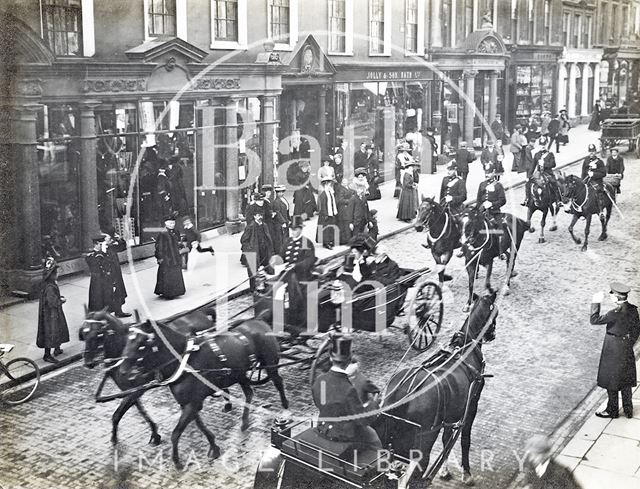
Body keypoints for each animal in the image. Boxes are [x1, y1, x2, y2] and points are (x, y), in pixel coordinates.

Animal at [119, 318, 288, 468]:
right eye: (127, 340)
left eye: (141, 343)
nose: (123, 371)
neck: (184, 362)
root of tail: (260, 323)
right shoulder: (189, 403)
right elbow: (200, 426)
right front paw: (213, 446)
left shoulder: (193, 404)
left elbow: (175, 433)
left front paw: (177, 461)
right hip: (240, 375)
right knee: (249, 393)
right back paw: (245, 422)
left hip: (270, 365)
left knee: (278, 382)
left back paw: (285, 407)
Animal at [378, 290, 498, 484]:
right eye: (495, 312)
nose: (492, 334)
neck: (465, 347)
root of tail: (404, 393)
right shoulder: (472, 404)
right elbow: (465, 439)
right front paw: (466, 472)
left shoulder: (450, 413)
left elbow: (446, 439)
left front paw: (444, 470)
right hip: (424, 440)